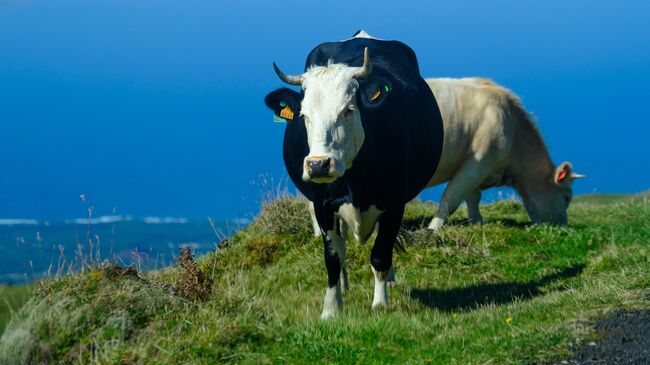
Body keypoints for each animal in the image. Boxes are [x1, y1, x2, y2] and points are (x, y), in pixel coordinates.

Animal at [262, 30, 440, 316]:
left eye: (347, 110)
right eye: (304, 116)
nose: (318, 165)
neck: (355, 183)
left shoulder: (395, 203)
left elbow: (380, 253)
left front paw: (379, 303)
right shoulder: (322, 204)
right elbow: (333, 257)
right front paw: (331, 309)